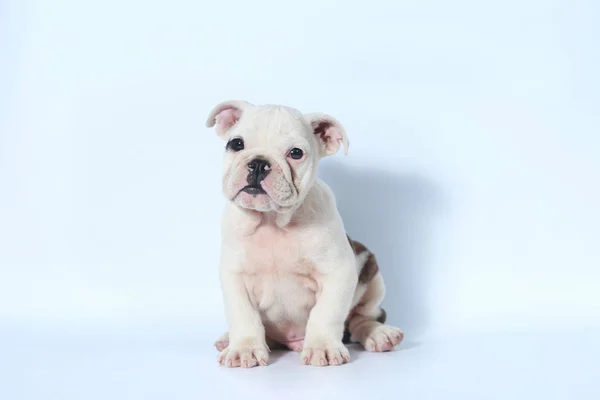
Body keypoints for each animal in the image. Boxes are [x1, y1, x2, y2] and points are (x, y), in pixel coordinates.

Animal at [206, 101, 404, 368]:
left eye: (296, 153)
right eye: (236, 144)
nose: (258, 163)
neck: (272, 220)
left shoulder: (338, 272)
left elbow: (326, 313)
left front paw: (322, 347)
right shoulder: (235, 277)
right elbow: (243, 315)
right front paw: (244, 348)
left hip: (371, 272)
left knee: (362, 318)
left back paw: (379, 334)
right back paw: (227, 339)